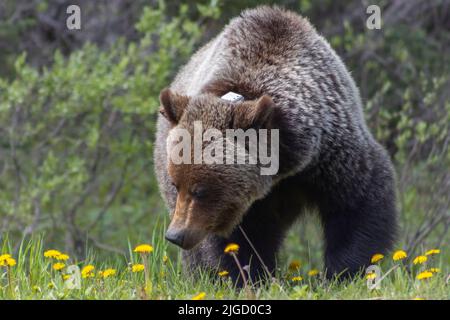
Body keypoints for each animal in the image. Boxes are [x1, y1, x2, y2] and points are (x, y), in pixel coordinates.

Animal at [155, 6, 398, 284]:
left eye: (201, 190)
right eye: (178, 184)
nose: (176, 235)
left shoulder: (329, 153)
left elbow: (359, 201)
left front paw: (343, 272)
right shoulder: (244, 205)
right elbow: (241, 239)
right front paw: (248, 276)